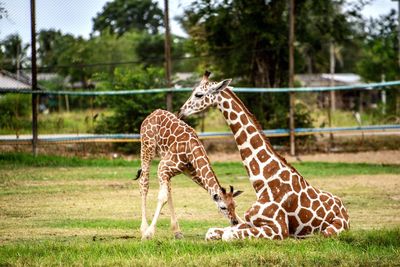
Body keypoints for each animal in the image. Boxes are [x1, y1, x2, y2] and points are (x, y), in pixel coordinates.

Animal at [135, 109, 244, 241]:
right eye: (223, 207)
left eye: (235, 205)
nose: (234, 222)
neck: (191, 150)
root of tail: (153, 113)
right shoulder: (162, 166)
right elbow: (162, 197)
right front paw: (148, 234)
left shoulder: (192, 172)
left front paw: (244, 223)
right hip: (147, 148)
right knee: (144, 184)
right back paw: (144, 228)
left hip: (165, 161)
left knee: (168, 189)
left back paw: (177, 231)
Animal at [178, 72, 350, 242]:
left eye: (198, 94)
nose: (181, 112)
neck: (262, 180)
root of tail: (346, 213)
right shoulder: (249, 221)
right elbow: (212, 232)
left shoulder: (279, 228)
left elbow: (227, 236)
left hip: (330, 230)